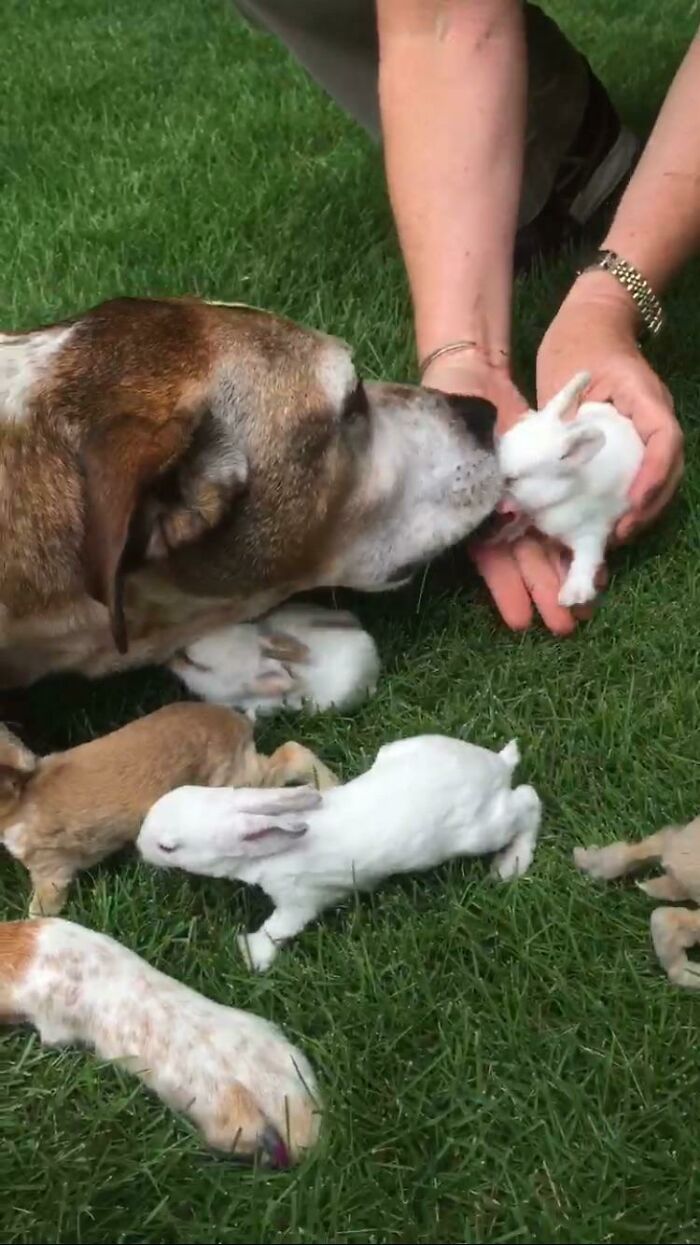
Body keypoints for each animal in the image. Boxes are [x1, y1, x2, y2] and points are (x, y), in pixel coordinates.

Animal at [0, 703, 337, 918]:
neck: (21, 799)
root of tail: (239, 722)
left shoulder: (52, 870)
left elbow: (42, 906)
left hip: (238, 781)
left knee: (291, 754)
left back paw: (331, 785)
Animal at [138, 735, 542, 972]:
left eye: (168, 847)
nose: (140, 845)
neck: (271, 850)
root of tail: (498, 765)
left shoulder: (299, 901)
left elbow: (279, 928)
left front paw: (251, 954)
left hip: (481, 830)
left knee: (528, 800)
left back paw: (510, 864)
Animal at [497, 371, 644, 607]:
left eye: (511, 480)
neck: (563, 494)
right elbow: (524, 517)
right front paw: (508, 532)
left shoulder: (592, 531)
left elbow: (586, 560)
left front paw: (572, 595)